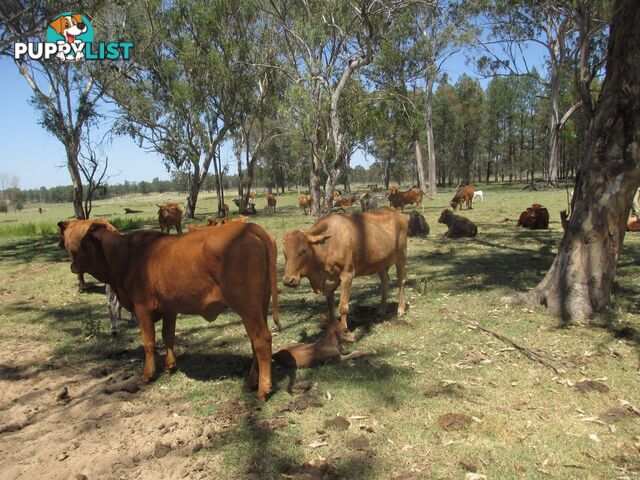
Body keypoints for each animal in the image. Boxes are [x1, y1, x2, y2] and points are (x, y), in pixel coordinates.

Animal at [70, 223, 280, 400]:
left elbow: (149, 341)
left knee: (261, 340)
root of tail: (247, 226)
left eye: (84, 244)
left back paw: (262, 389)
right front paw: (170, 366)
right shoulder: (169, 308)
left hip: (247, 307)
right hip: (260, 306)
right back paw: (251, 383)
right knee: (255, 342)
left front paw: (148, 374)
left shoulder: (142, 308)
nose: (72, 264)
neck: (128, 256)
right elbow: (168, 336)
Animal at [282, 206, 408, 342]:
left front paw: (346, 332)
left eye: (303, 251)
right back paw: (382, 309)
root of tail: (394, 211)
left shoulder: (347, 275)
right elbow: (330, 306)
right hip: (381, 263)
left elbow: (343, 307)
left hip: (401, 257)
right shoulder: (329, 280)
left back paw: (401, 309)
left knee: (401, 281)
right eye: (284, 252)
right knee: (385, 281)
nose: (288, 280)